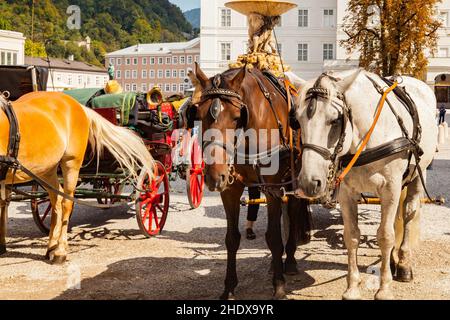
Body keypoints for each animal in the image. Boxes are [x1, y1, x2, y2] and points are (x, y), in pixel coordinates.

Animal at [0, 91, 154, 264]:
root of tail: (77, 104)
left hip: (70, 164)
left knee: (66, 202)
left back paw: (60, 251)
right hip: (46, 170)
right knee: (56, 200)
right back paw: (51, 246)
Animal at [188, 63, 312, 300]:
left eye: (237, 116)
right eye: (198, 114)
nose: (214, 177)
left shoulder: (272, 187)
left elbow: (273, 237)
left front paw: (279, 285)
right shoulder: (230, 189)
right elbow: (231, 239)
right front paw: (229, 287)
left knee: (292, 212)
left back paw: (290, 260)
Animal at [294, 69, 438, 300]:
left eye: (335, 120)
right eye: (297, 121)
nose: (308, 183)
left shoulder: (390, 188)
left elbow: (386, 236)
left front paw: (384, 288)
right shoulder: (346, 193)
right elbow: (352, 236)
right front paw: (352, 287)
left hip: (417, 174)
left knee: (408, 214)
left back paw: (403, 264)